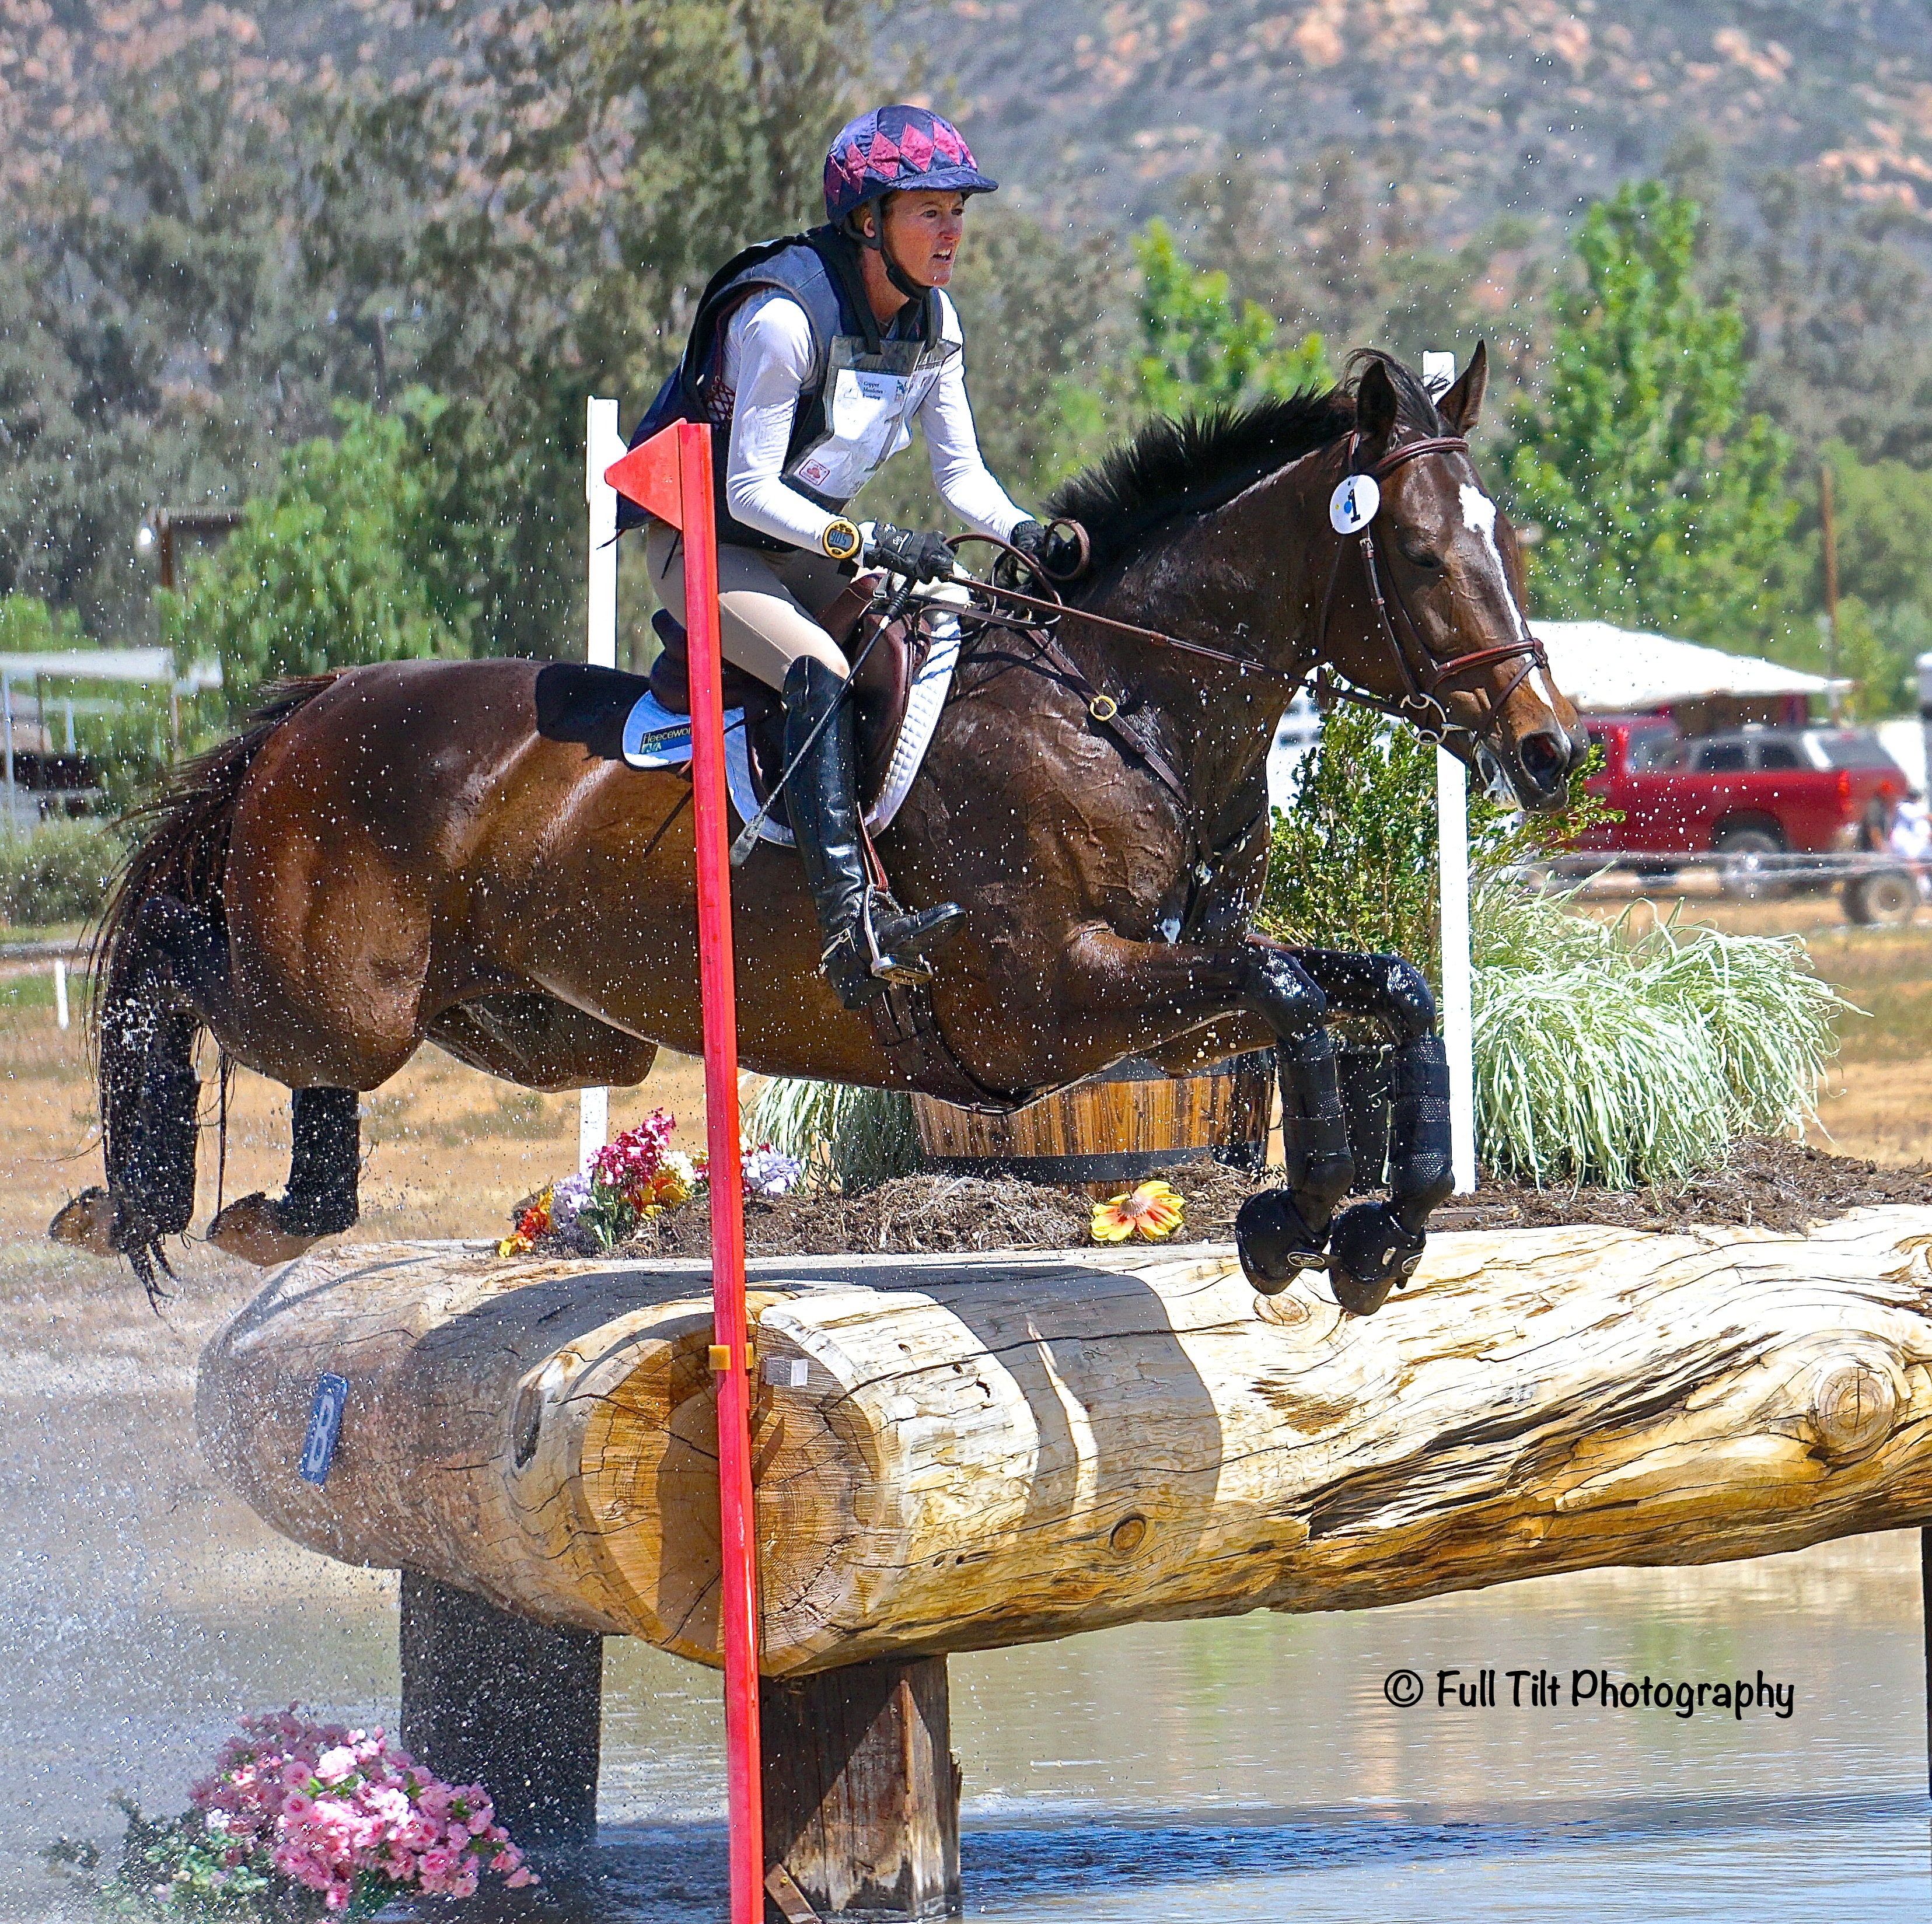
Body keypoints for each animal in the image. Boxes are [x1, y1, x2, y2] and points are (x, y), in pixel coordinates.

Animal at [60, 342, 1584, 1306]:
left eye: (1512, 547)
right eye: (1425, 555)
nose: (1550, 748)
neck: (1112, 700)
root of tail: (321, 700)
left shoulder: (1160, 1003)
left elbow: (1376, 984)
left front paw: (1376, 1234)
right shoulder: (1047, 999)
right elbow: (1294, 989)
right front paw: (1297, 1219)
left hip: (531, 1026)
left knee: (318, 1091)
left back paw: (278, 1213)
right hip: (344, 992)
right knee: (177, 976)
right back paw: (133, 1195)